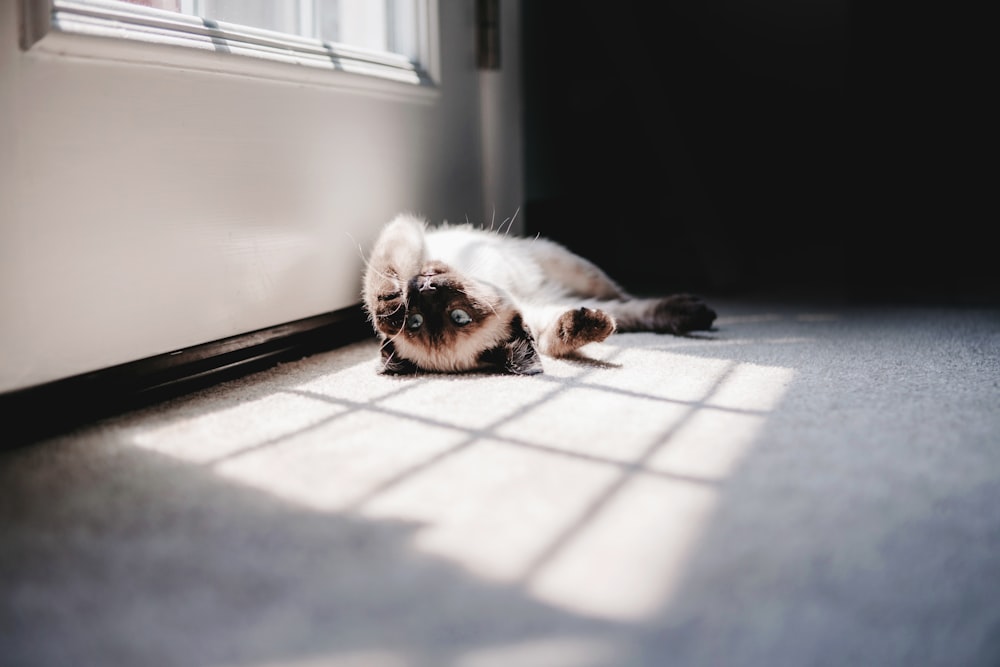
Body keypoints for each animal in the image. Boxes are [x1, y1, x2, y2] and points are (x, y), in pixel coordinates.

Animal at [364, 214, 716, 376]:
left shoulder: (409, 232)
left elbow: (381, 277)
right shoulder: (537, 316)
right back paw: (693, 315)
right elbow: (554, 339)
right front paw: (587, 326)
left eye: (458, 316)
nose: (424, 288)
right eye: (417, 321)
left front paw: (390, 306)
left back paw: (701, 312)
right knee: (627, 313)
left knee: (622, 296)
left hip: (576, 268)